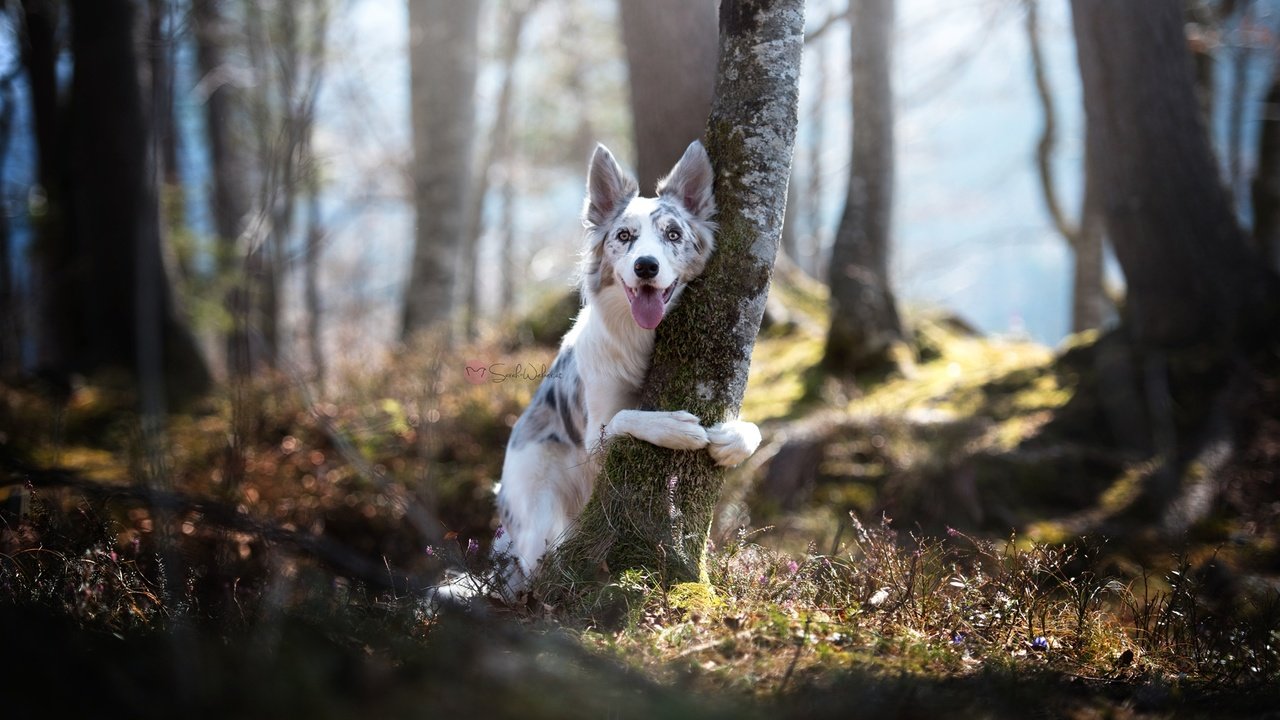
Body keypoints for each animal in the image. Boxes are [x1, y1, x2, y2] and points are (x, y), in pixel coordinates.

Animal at [481, 140, 757, 594]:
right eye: (624, 236)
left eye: (673, 234)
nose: (646, 266)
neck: (640, 337)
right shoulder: (594, 437)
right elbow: (627, 416)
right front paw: (673, 428)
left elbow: (753, 430)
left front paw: (735, 438)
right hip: (538, 497)